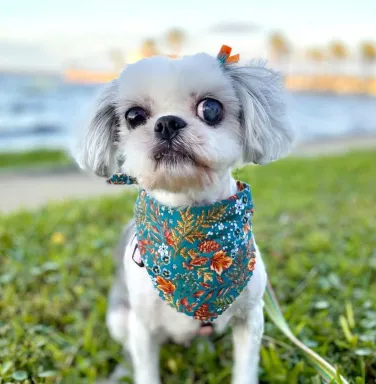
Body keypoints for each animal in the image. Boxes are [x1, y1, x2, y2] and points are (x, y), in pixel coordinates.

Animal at [74, 45, 294, 384]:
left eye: (211, 109)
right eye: (134, 116)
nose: (167, 123)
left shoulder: (251, 318)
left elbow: (245, 368)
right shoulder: (142, 327)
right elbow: (145, 370)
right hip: (119, 318)